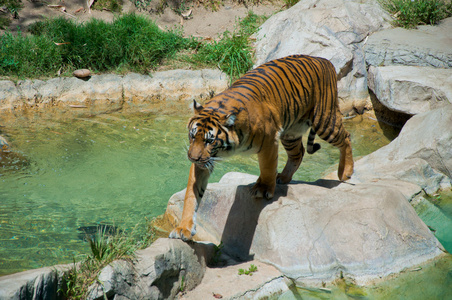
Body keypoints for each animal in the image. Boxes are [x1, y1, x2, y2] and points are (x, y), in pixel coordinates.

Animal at [170, 54, 354, 241]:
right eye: (193, 136)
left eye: (210, 141)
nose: (192, 158)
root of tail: (324, 60)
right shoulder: (205, 160)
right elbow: (192, 194)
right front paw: (184, 228)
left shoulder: (269, 141)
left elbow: (267, 167)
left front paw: (263, 188)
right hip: (291, 132)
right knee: (298, 153)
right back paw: (283, 177)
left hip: (324, 121)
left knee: (346, 137)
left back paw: (345, 172)